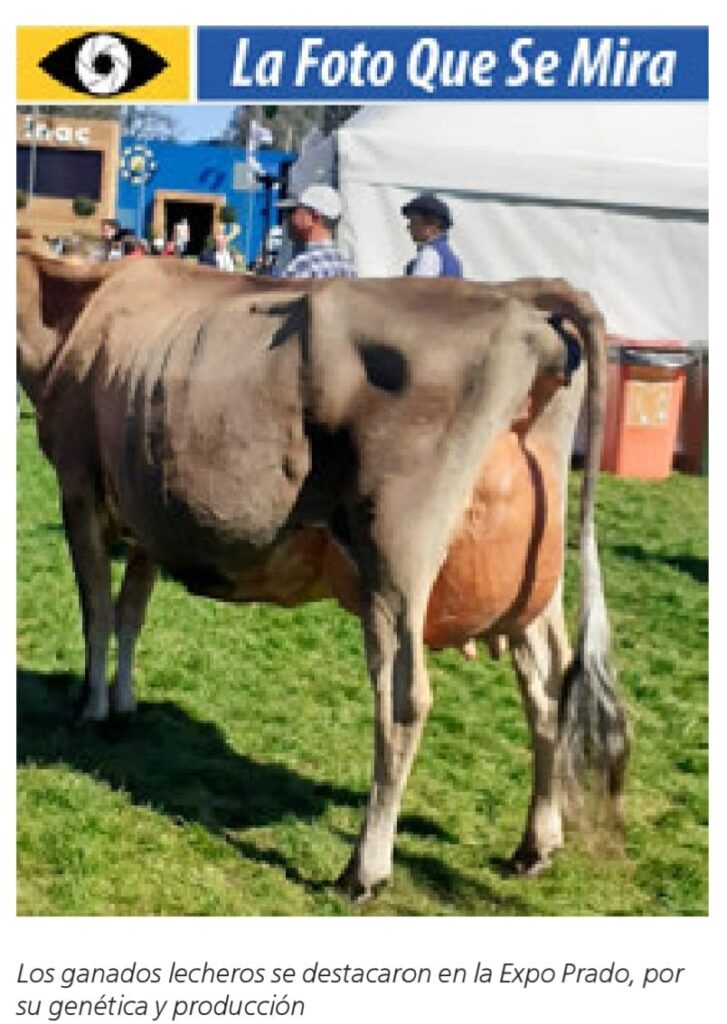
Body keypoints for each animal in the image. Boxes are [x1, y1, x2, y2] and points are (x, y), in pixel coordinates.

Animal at [17, 245, 628, 900]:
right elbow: (131, 613)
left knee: (404, 701)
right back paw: (536, 844)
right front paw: (124, 705)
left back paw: (364, 870)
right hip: (533, 584)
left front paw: (90, 709)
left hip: (396, 560)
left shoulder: (79, 489)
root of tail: (515, 297)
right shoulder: (149, 516)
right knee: (548, 688)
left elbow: (97, 613)